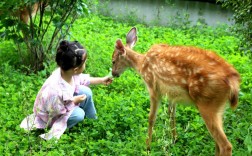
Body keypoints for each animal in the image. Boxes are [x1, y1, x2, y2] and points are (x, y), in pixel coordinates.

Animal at [110, 27, 240, 156]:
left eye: (113, 61)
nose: (114, 74)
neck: (141, 64)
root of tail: (233, 81)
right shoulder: (172, 95)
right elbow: (171, 114)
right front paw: (174, 139)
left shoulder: (153, 88)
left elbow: (151, 118)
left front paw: (147, 147)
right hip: (218, 108)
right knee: (218, 142)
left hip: (207, 103)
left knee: (225, 145)